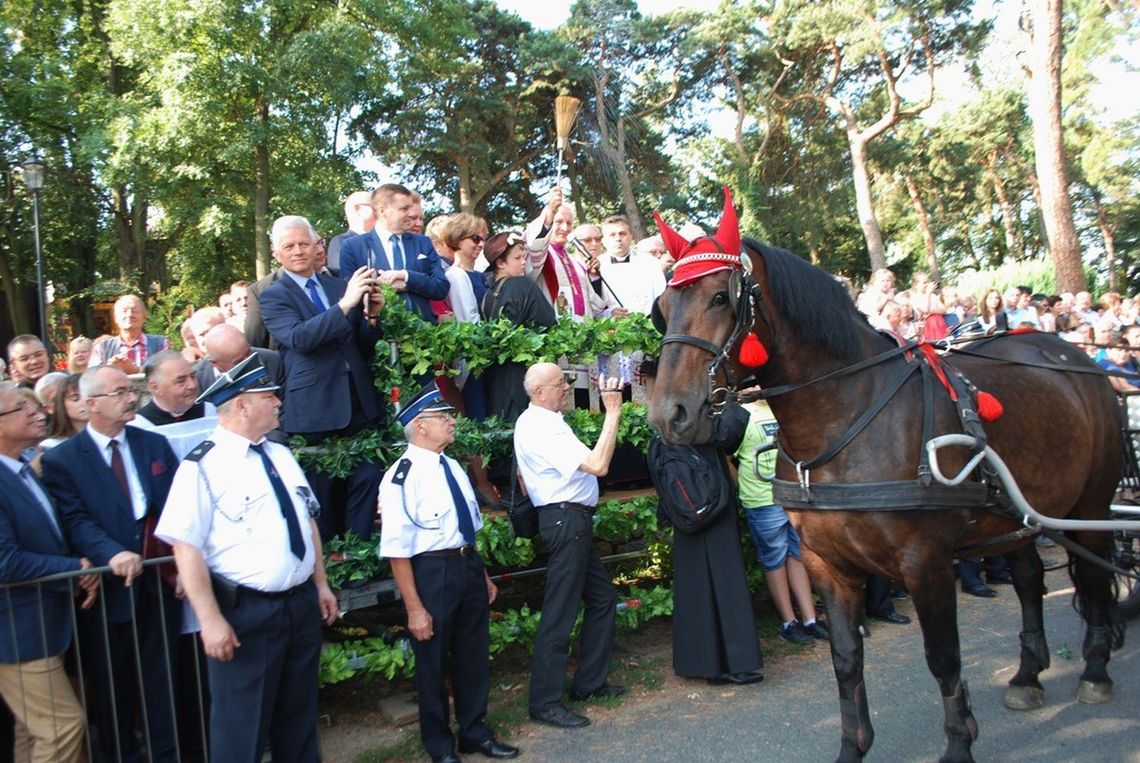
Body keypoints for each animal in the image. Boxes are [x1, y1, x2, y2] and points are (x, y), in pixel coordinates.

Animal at [647, 238, 1126, 761]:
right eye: (663, 309)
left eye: (720, 297)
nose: (670, 414)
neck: (847, 417)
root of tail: (1069, 355)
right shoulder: (825, 564)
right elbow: (845, 658)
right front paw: (852, 748)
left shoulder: (925, 561)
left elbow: (942, 658)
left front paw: (959, 744)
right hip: (1014, 517)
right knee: (1029, 580)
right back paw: (1027, 675)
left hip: (1091, 504)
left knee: (1094, 576)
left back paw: (1095, 671)